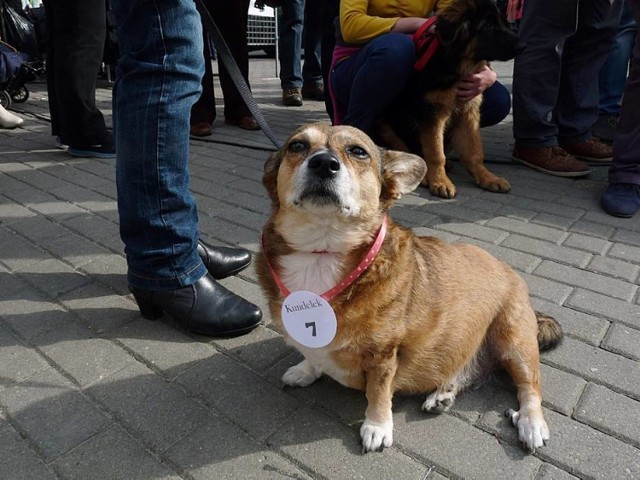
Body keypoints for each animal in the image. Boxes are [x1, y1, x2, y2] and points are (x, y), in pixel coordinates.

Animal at [378, 0, 524, 198]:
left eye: (504, 22)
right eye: (488, 26)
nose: (523, 46)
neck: (459, 67)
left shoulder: (469, 111)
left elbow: (474, 151)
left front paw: (487, 177)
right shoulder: (433, 112)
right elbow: (435, 152)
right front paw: (440, 181)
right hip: (385, 125)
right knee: (403, 151)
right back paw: (425, 176)